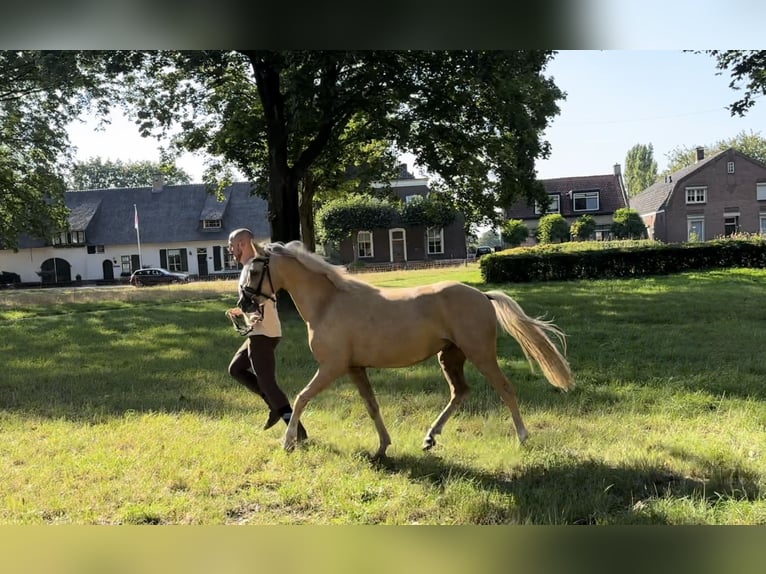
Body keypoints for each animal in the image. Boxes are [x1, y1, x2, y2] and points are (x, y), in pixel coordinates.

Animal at [242, 242, 576, 460]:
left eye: (255, 270)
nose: (245, 304)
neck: (328, 303)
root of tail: (483, 295)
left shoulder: (332, 367)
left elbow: (301, 398)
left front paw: (287, 443)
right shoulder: (354, 368)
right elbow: (372, 406)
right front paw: (382, 448)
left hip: (481, 354)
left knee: (505, 389)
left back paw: (522, 438)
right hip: (450, 356)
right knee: (460, 392)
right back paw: (429, 438)